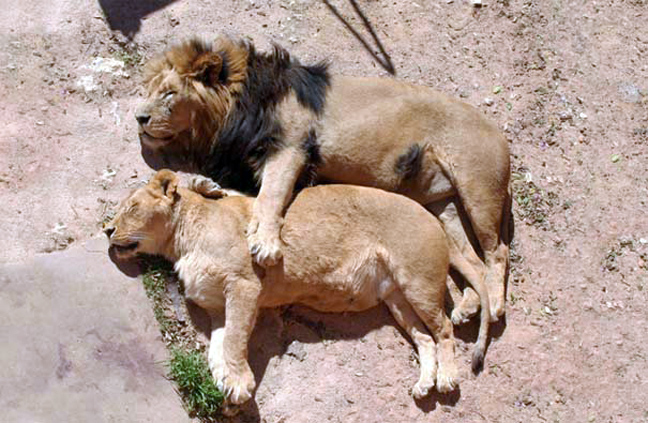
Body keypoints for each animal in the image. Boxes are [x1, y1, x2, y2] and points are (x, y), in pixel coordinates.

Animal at [105, 170, 491, 408]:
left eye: (132, 208)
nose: (107, 230)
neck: (181, 242)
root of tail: (433, 218)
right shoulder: (217, 308)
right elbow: (216, 347)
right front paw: (223, 380)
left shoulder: (244, 286)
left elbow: (234, 340)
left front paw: (240, 383)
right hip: (396, 299)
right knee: (425, 338)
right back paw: (425, 383)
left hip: (418, 282)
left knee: (444, 328)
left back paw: (447, 379)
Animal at [135, 37, 511, 324]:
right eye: (149, 91)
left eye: (169, 94)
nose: (139, 117)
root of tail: (499, 133)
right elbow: (245, 196)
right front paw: (208, 188)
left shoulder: (291, 148)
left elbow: (270, 196)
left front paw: (266, 244)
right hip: (441, 206)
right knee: (473, 261)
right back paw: (468, 307)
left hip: (478, 190)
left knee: (497, 251)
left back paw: (494, 306)